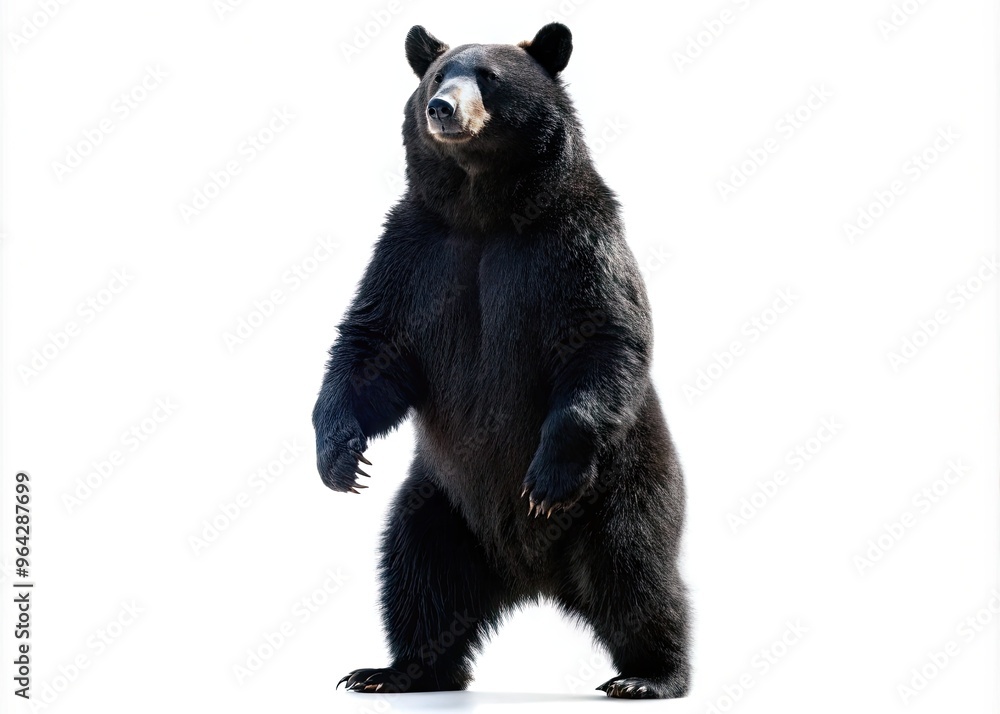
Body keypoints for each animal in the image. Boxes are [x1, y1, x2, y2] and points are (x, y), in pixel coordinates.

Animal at [312, 23, 690, 699]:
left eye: (489, 77)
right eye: (438, 77)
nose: (442, 109)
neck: (483, 207)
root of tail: (531, 575)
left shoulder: (573, 242)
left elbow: (605, 337)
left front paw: (544, 478)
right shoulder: (416, 249)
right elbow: (373, 345)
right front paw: (340, 456)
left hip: (620, 489)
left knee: (634, 572)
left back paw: (649, 674)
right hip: (441, 499)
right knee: (416, 572)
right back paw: (393, 670)